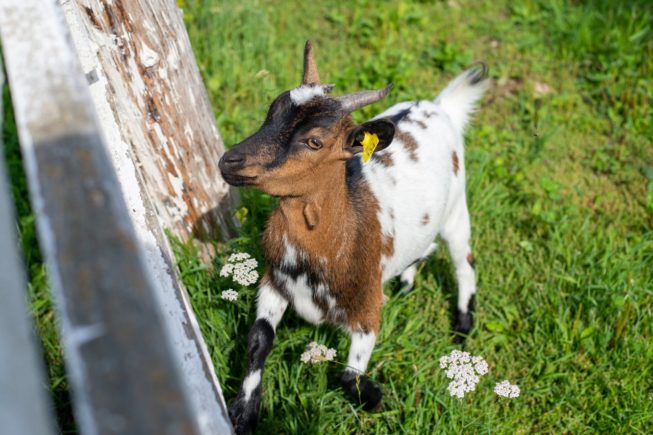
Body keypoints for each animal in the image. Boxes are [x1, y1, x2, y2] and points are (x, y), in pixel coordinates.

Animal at [220, 41, 488, 435]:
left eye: (315, 141)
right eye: (271, 111)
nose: (229, 161)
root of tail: (439, 106)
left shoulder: (367, 308)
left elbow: (349, 376)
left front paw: (375, 396)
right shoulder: (275, 282)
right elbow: (259, 338)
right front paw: (244, 412)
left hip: (456, 208)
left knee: (463, 260)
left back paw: (463, 325)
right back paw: (406, 284)